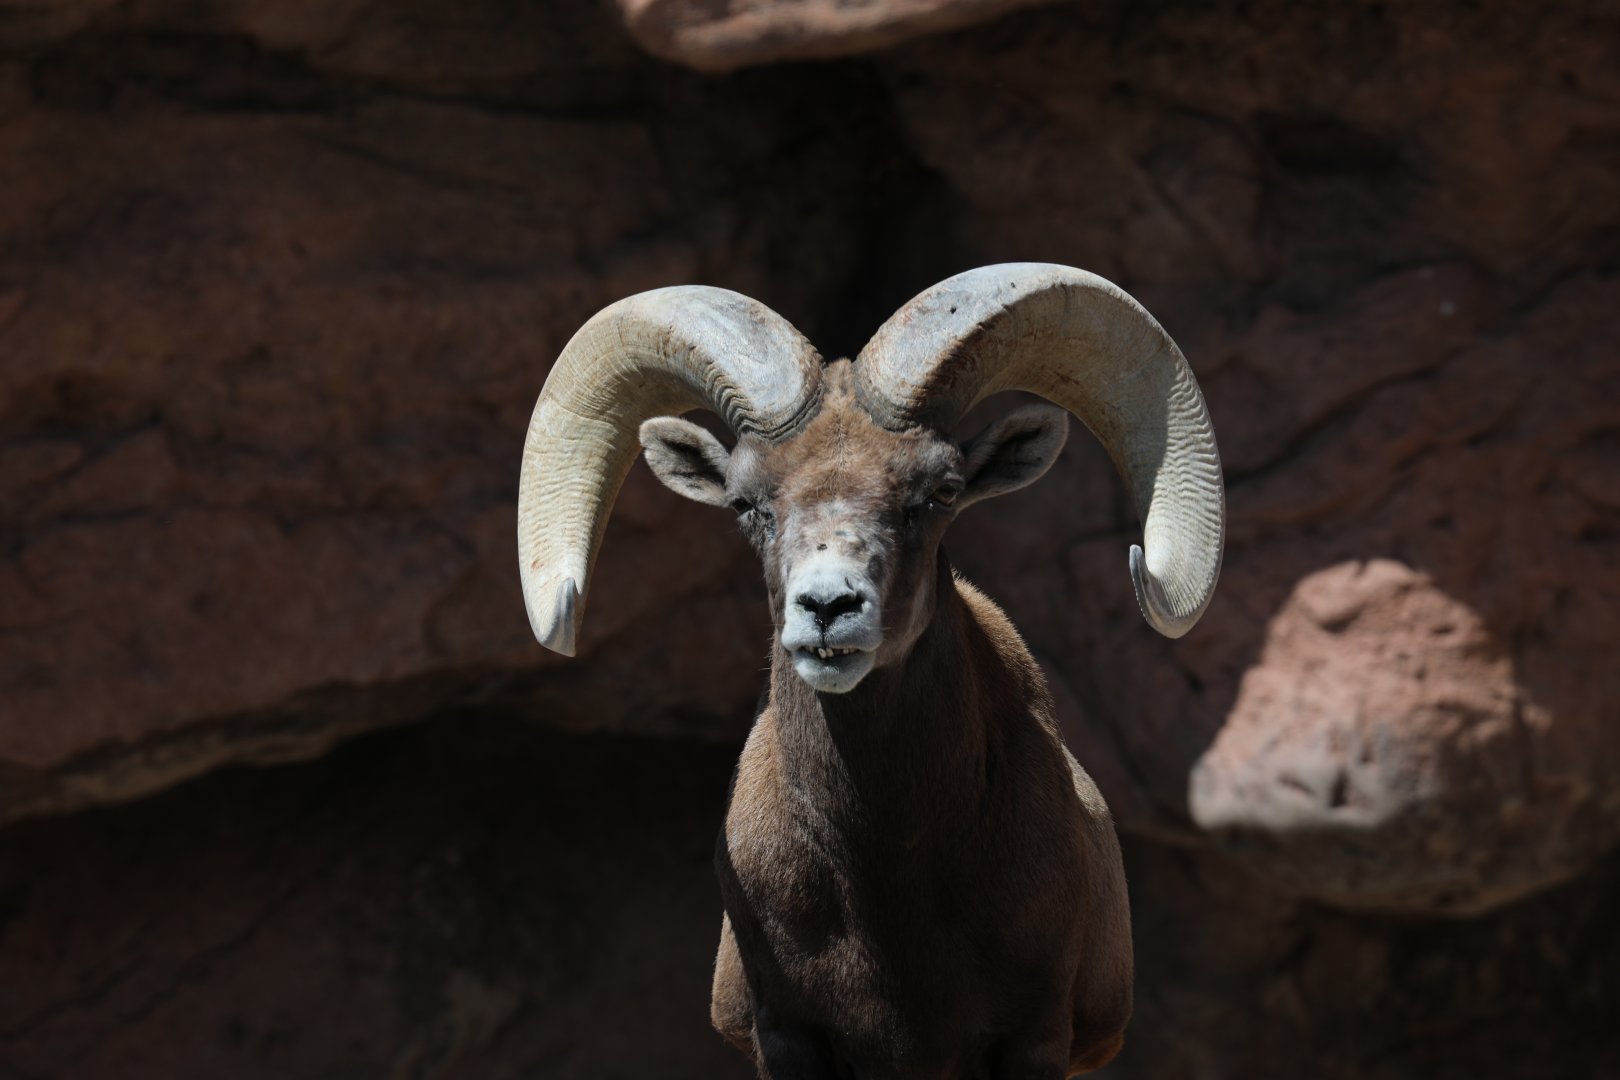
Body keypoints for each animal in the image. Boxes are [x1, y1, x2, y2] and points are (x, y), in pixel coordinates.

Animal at [517, 263, 1225, 1078]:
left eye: (940, 492)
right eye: (746, 503)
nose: (829, 608)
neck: (886, 877)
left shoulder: (1034, 1040)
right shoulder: (787, 1038)